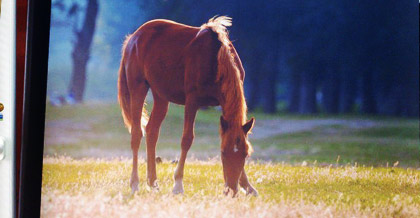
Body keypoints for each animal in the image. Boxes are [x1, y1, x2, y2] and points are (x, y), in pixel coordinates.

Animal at [116, 15, 258, 196]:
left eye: (246, 154)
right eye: (223, 153)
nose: (231, 190)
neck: (215, 59)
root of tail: (133, 38)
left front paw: (248, 186)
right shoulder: (192, 101)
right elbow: (187, 139)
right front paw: (178, 185)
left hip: (161, 96)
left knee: (152, 131)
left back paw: (153, 183)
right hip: (138, 88)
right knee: (136, 134)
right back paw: (135, 184)